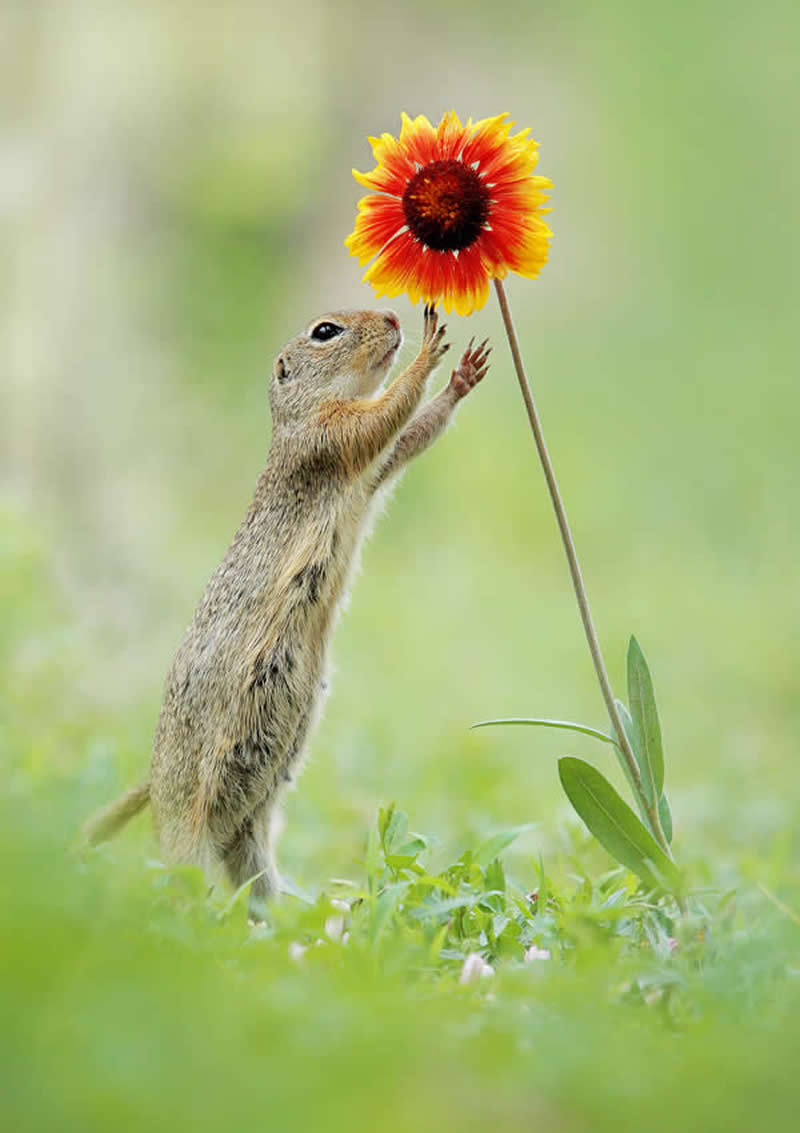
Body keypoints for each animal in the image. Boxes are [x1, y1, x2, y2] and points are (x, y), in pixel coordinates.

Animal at [83, 304, 490, 911]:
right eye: (325, 331)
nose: (393, 316)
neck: (299, 412)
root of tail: (154, 788)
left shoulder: (370, 470)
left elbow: (408, 438)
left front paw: (462, 376)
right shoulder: (327, 437)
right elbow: (384, 417)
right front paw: (428, 352)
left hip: (251, 820)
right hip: (191, 829)